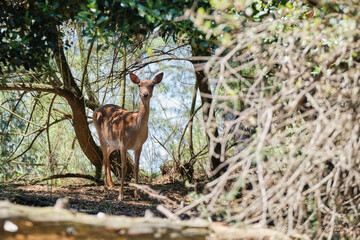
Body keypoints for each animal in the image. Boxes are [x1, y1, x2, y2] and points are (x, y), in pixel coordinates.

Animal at [94, 71, 165, 201]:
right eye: (139, 85)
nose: (145, 94)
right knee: (104, 157)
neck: (135, 129)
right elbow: (124, 167)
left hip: (113, 143)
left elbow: (136, 168)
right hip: (100, 134)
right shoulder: (124, 144)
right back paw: (105, 188)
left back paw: (111, 185)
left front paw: (137, 195)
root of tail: (95, 110)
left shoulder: (139, 146)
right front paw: (121, 196)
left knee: (107, 155)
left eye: (152, 85)